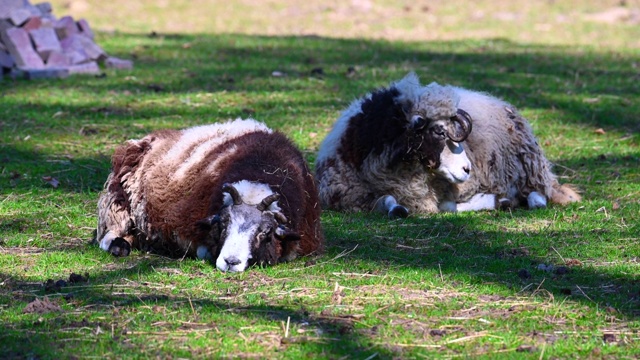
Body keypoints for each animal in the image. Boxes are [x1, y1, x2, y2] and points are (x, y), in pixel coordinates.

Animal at [96, 119, 324, 272]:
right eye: (223, 224)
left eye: (265, 232)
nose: (231, 262)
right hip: (120, 200)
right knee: (109, 233)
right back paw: (118, 246)